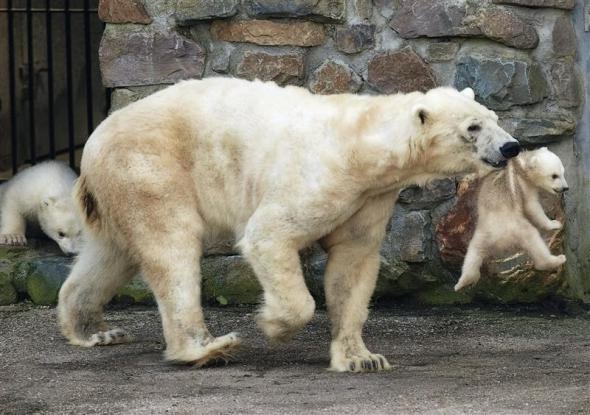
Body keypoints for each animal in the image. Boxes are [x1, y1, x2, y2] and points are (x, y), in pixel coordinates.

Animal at [59, 78, 524, 374]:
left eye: (493, 116)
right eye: (473, 127)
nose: (511, 147)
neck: (364, 146)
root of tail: (93, 143)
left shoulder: (370, 197)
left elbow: (353, 263)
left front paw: (361, 358)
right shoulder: (322, 178)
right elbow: (269, 235)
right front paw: (274, 325)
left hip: (120, 189)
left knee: (112, 254)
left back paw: (94, 331)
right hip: (149, 168)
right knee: (171, 247)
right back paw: (206, 348)